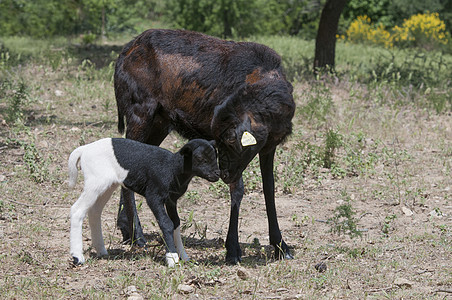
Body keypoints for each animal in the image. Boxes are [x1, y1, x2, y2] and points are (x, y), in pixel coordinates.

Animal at [67, 138, 221, 268]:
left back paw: (101, 250)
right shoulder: (154, 196)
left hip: (107, 185)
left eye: (216, 156)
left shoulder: (172, 200)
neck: (173, 168)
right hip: (95, 182)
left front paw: (184, 256)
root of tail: (84, 149)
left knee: (94, 211)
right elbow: (166, 223)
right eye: (200, 158)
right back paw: (78, 257)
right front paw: (172, 258)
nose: (217, 174)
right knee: (77, 210)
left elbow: (176, 222)